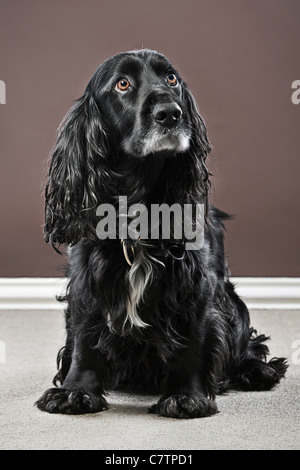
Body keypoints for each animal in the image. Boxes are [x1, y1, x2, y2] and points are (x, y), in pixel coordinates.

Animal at [36, 49, 288, 418]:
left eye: (171, 79)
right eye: (122, 84)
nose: (170, 112)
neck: (140, 201)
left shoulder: (195, 282)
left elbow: (193, 339)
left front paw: (186, 396)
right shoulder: (87, 279)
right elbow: (84, 338)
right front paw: (74, 391)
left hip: (234, 303)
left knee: (248, 345)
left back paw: (256, 371)